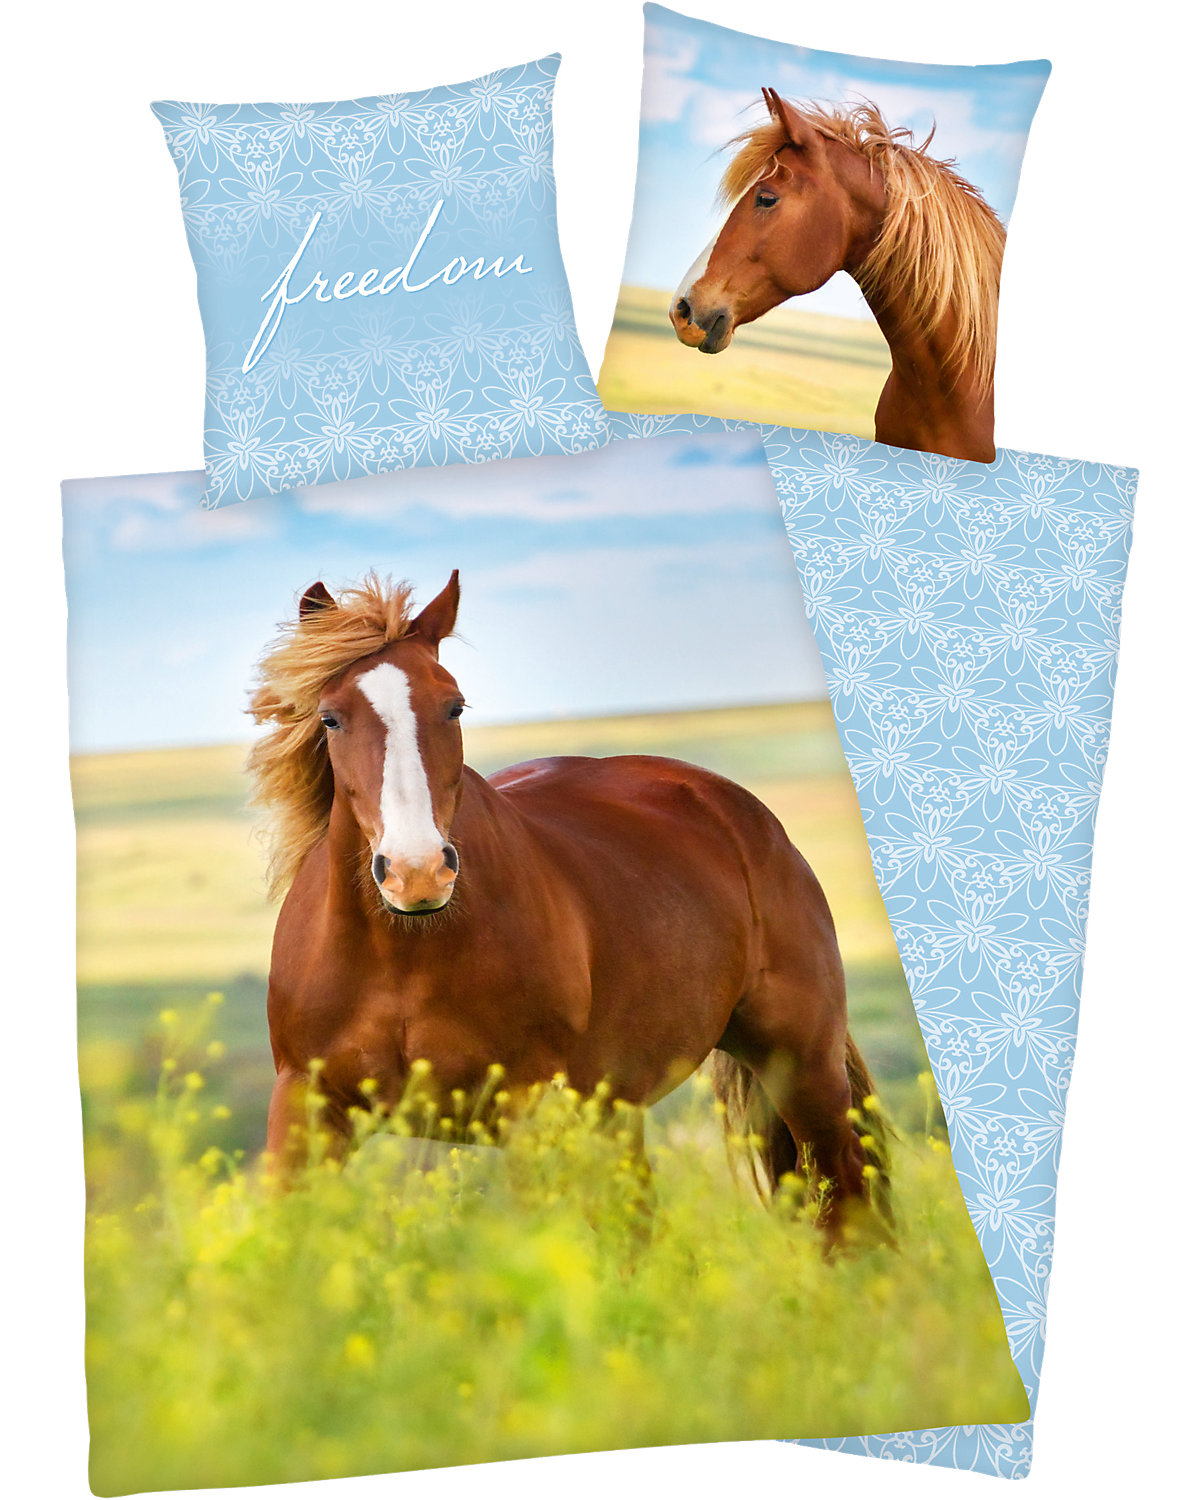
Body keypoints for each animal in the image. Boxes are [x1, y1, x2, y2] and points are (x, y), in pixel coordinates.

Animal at [248, 570, 889, 1235]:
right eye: (330, 718)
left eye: (454, 706)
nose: (416, 872)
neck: (403, 954)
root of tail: (732, 806)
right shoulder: (306, 1106)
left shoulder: (527, 1111)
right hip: (620, 1107)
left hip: (802, 1067)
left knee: (845, 1196)